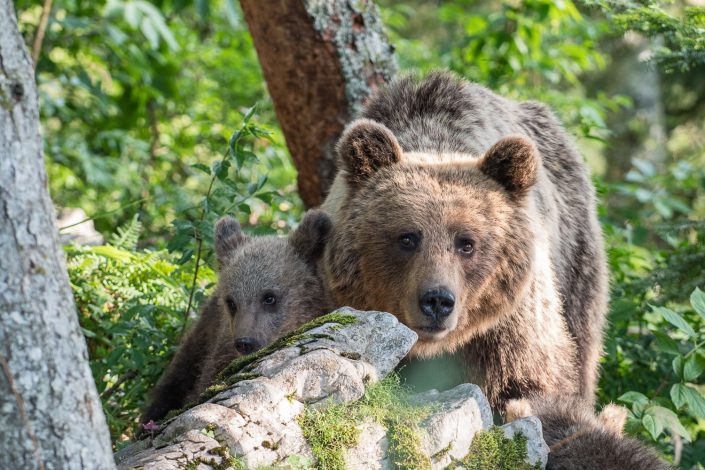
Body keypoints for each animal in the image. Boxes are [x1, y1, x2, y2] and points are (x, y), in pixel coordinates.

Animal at [322, 71, 608, 414]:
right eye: (407, 237)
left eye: (466, 243)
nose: (437, 301)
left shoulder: (510, 322)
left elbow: (526, 377)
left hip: (576, 260)